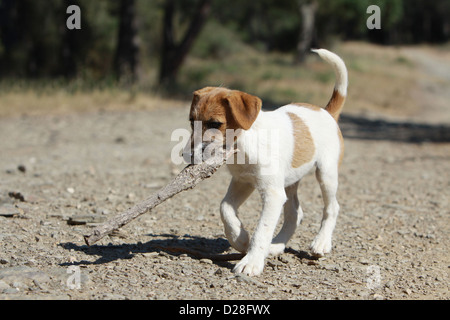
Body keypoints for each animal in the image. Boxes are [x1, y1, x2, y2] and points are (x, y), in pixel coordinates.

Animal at [182, 48, 348, 276]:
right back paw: (276, 245)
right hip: (290, 181)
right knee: (295, 213)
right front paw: (240, 238)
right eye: (192, 122)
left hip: (326, 174)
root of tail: (326, 112)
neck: (242, 145)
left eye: (214, 123)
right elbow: (225, 208)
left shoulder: (272, 193)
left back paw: (321, 242)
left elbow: (262, 229)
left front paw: (251, 262)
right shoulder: (243, 182)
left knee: (332, 207)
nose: (186, 155)